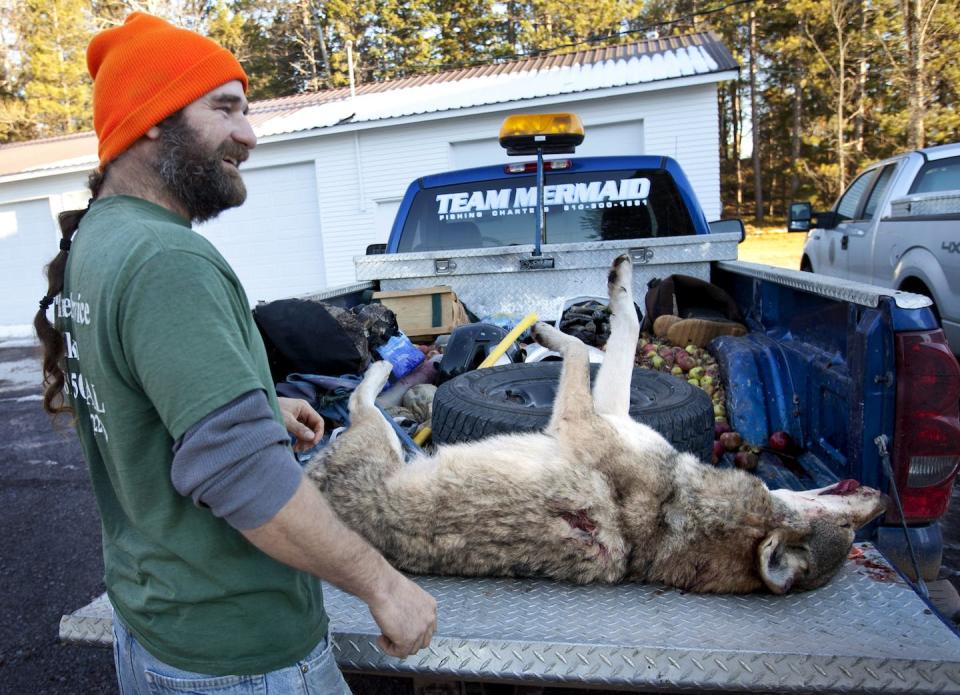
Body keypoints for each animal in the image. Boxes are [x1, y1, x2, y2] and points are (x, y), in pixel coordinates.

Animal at [312, 256, 888, 592]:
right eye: (851, 529)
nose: (882, 501)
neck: (679, 509)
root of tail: (313, 481)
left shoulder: (585, 415)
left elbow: (605, 336)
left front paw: (550, 327)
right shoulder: (606, 412)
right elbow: (622, 335)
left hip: (378, 437)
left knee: (361, 400)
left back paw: (381, 369)